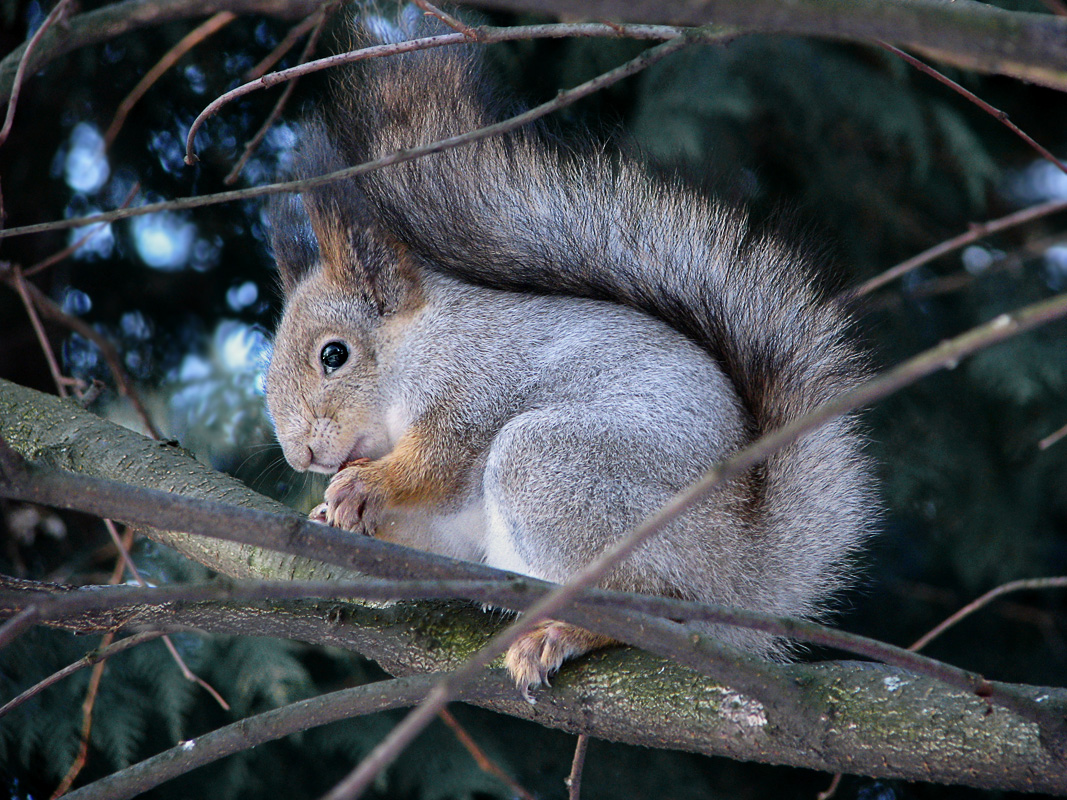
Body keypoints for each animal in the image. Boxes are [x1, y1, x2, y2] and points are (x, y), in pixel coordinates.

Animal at [264, 9, 874, 699]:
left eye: (333, 356)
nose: (302, 455)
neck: (415, 348)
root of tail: (739, 575)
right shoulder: (449, 525)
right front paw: (333, 520)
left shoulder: (476, 381)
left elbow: (438, 459)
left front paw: (368, 483)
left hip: (556, 470)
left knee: (647, 600)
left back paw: (566, 634)